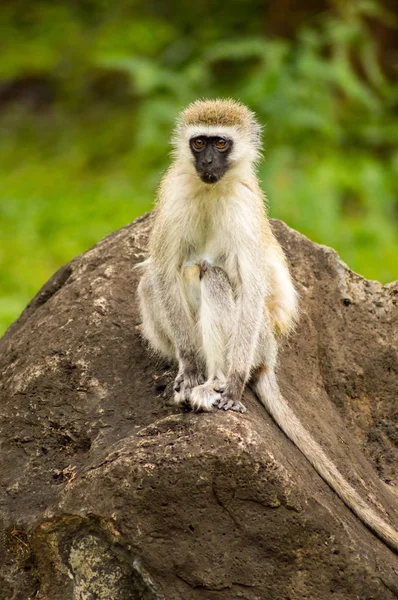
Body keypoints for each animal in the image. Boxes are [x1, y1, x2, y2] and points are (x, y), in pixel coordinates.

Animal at [137, 98, 398, 552]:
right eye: (199, 142)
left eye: (221, 143)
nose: (207, 161)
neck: (212, 190)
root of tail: (271, 352)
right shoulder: (173, 194)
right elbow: (164, 270)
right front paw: (188, 366)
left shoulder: (243, 207)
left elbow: (252, 283)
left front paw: (231, 384)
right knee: (157, 276)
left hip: (257, 337)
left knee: (211, 274)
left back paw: (218, 380)